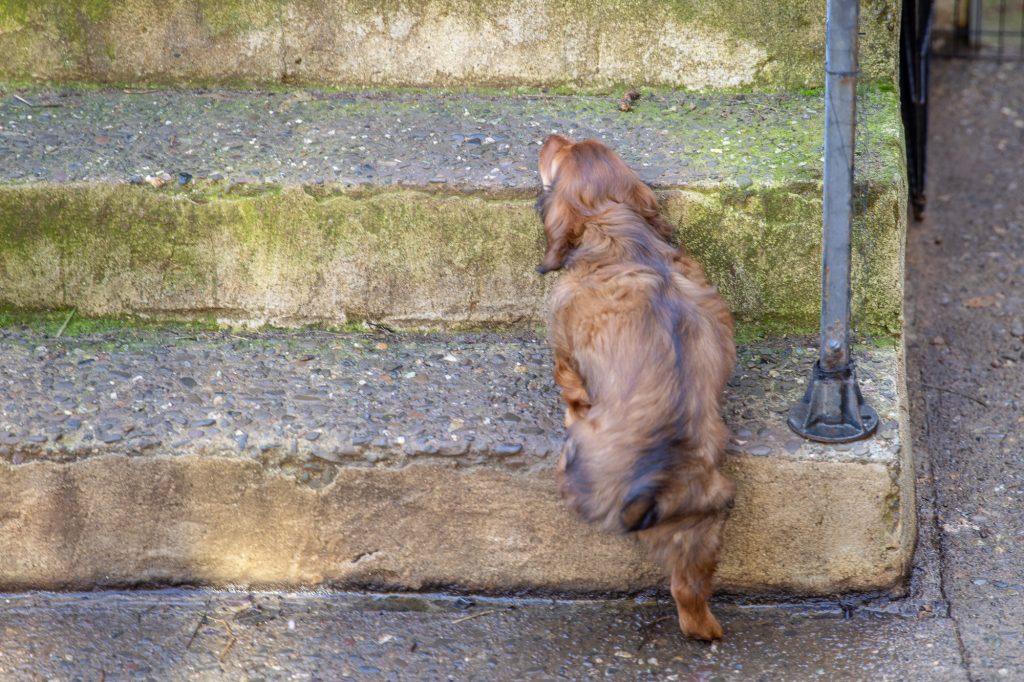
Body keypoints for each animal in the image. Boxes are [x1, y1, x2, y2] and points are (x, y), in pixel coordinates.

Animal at [536, 135, 737, 638]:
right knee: (689, 595)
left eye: (559, 155)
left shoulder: (564, 345)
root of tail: (658, 478)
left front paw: (570, 404)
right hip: (702, 529)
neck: (620, 231)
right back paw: (705, 630)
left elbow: (569, 383)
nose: (551, 137)